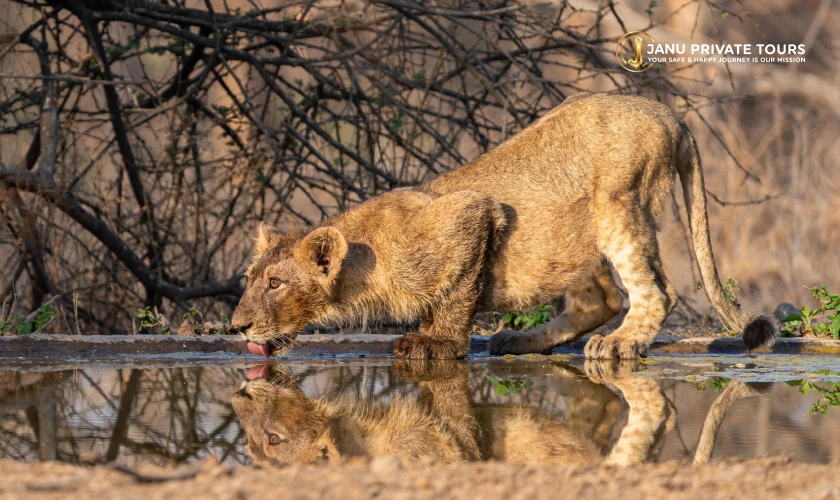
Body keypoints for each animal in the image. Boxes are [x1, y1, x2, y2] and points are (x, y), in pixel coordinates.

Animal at [231, 92, 778, 359]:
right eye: (250, 281)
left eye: (276, 284)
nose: (236, 327)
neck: (362, 266)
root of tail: (672, 114)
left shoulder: (470, 216)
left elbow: (455, 296)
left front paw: (437, 345)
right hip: (578, 233)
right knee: (601, 299)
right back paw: (519, 341)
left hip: (618, 205)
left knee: (655, 292)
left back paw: (619, 344)